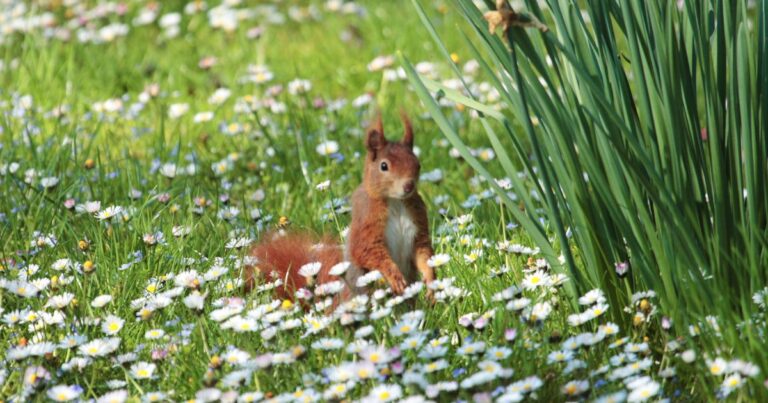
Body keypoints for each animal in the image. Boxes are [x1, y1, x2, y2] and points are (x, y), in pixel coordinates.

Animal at [243, 113, 435, 304]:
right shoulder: (367, 219)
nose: (409, 186)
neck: (396, 202)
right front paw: (395, 276)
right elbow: (366, 251)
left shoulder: (417, 219)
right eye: (384, 166)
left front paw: (431, 283)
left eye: (417, 164)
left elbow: (423, 251)